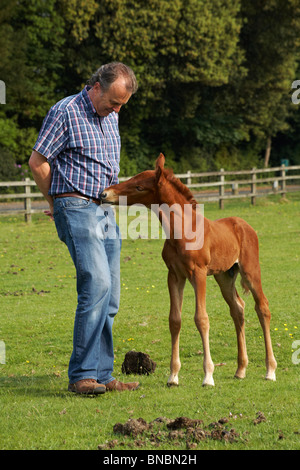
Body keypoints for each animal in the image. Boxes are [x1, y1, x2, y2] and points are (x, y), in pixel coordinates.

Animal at [101, 154, 276, 386]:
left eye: (139, 186)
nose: (104, 194)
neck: (182, 231)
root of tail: (244, 225)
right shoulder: (174, 275)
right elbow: (175, 320)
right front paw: (173, 376)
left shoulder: (198, 274)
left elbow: (201, 319)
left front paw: (208, 376)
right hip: (224, 276)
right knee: (238, 309)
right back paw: (240, 369)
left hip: (250, 271)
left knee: (262, 308)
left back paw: (270, 370)